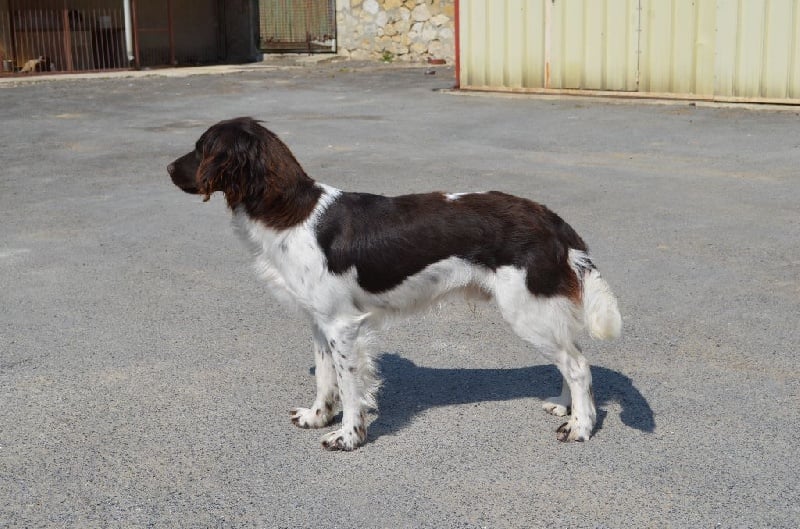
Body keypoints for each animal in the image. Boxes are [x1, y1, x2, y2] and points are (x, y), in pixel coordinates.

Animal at [168, 117, 621, 451]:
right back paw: (565, 408)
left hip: (527, 310)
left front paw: (347, 437)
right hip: (540, 310)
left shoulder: (343, 325)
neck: (291, 212)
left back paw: (580, 427)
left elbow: (350, 387)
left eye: (202, 148)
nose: (168, 168)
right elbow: (325, 380)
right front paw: (317, 417)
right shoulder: (319, 322)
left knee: (578, 365)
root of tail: (550, 218)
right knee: (572, 357)